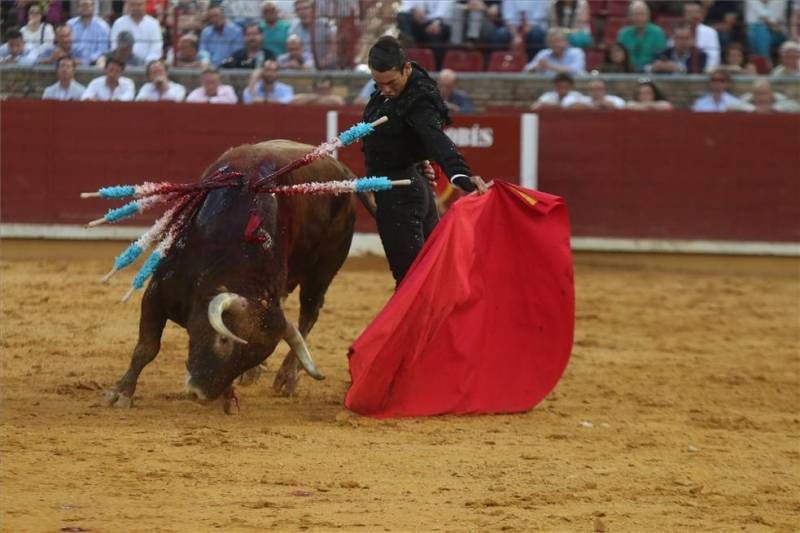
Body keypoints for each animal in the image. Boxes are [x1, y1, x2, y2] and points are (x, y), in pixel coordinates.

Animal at [102, 139, 356, 410]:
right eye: (223, 340)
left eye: (247, 358)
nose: (200, 394)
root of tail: (343, 170)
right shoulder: (157, 293)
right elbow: (146, 347)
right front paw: (120, 393)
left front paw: (231, 396)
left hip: (323, 270)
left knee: (309, 314)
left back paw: (287, 378)